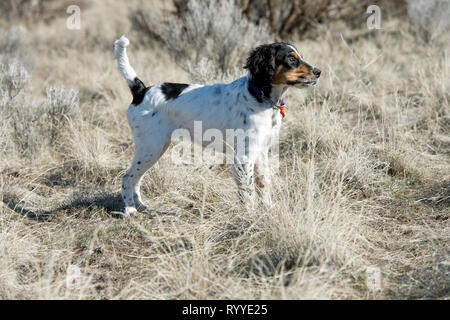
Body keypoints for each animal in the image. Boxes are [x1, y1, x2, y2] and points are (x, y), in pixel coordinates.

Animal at [116, 35, 320, 215]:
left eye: (300, 56)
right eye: (291, 59)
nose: (318, 72)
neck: (259, 97)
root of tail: (141, 91)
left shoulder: (261, 152)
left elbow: (264, 183)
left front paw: (268, 210)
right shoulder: (243, 157)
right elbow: (248, 192)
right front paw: (251, 217)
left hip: (155, 148)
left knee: (137, 178)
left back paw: (140, 205)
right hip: (150, 147)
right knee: (128, 177)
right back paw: (130, 209)